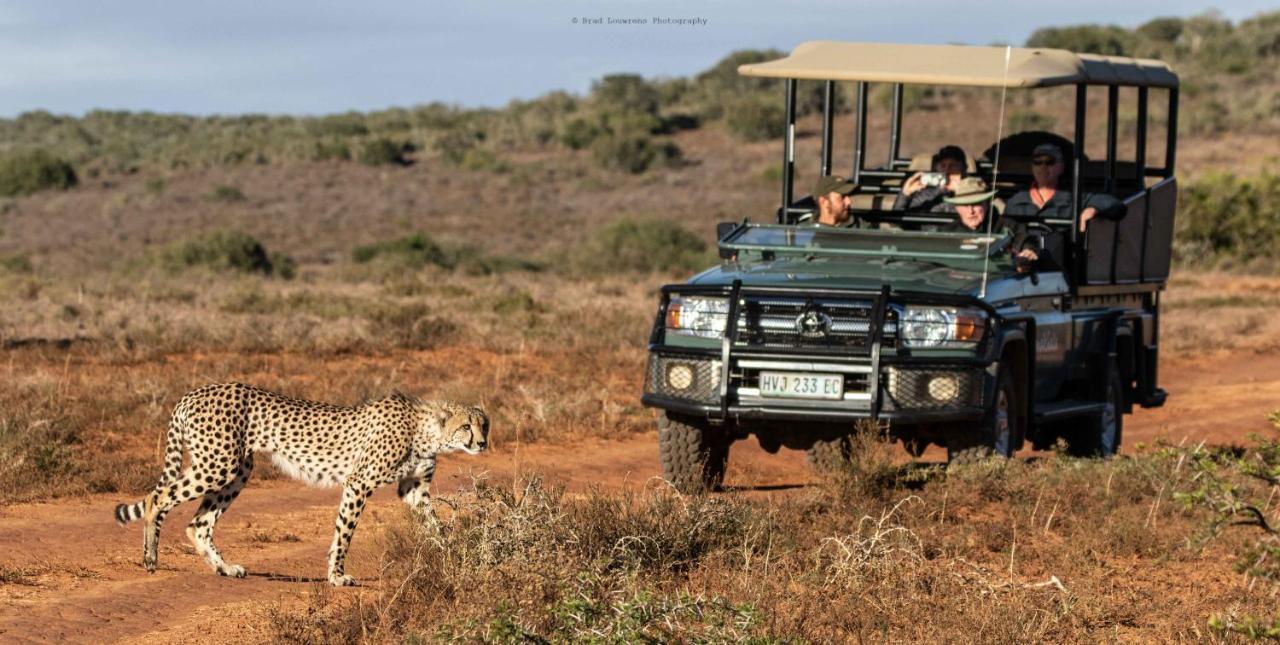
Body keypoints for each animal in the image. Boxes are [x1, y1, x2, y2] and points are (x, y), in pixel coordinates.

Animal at [112, 381, 488, 586]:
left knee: (198, 524)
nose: (483, 443)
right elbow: (344, 533)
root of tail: (194, 392)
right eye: (466, 426)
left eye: (484, 425)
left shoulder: (413, 490)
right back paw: (150, 558)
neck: (427, 431)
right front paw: (337, 575)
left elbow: (436, 526)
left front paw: (455, 557)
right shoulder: (359, 482)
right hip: (218, 465)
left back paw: (224, 568)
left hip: (238, 470)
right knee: (157, 498)